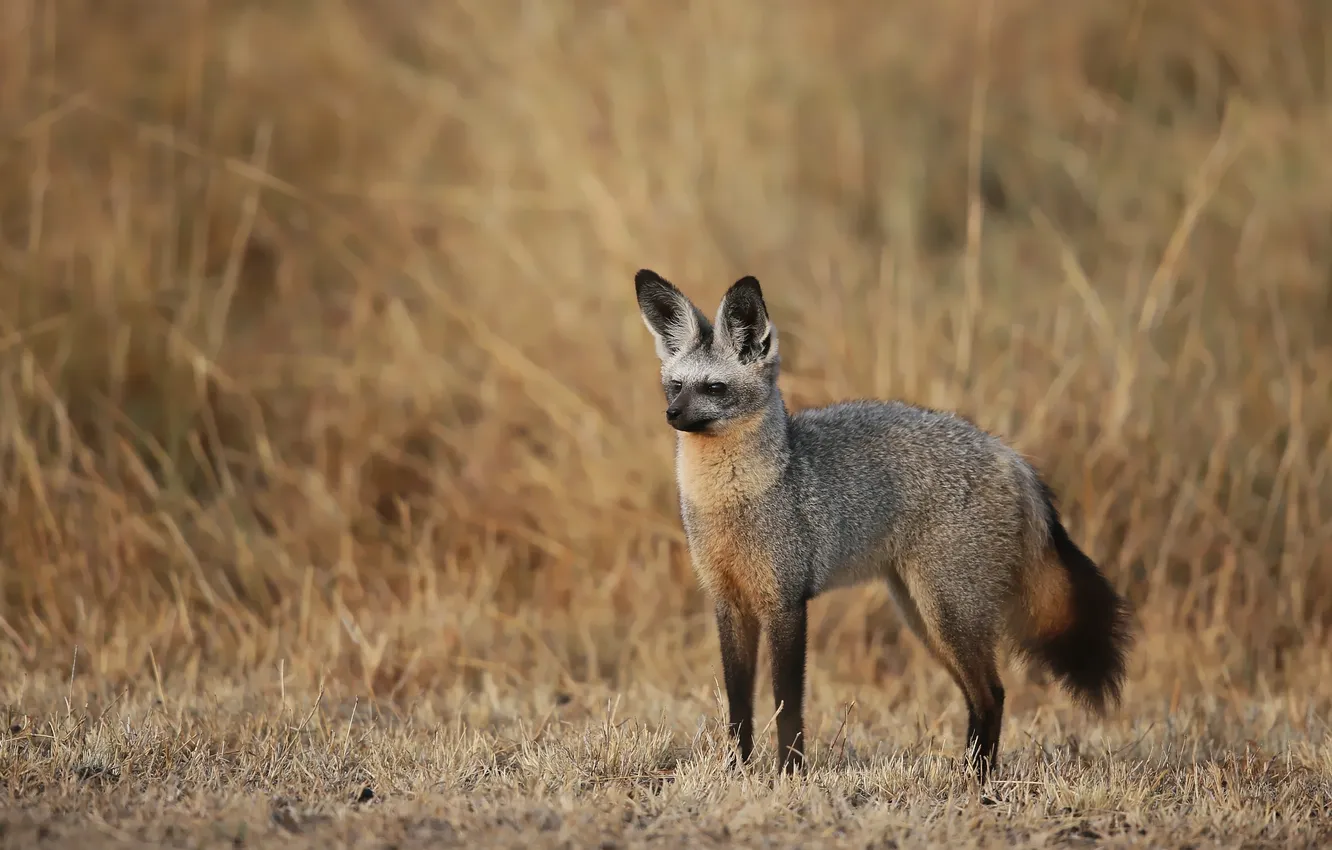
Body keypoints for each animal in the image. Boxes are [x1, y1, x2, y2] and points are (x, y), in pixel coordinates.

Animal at [634, 269, 1134, 783]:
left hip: (947, 613)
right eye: (675, 386)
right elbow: (738, 708)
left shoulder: (786, 603)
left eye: (714, 388)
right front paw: (737, 772)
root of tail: (1012, 457)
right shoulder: (728, 603)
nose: (672, 415)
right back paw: (971, 775)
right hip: (924, 617)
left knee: (993, 693)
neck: (733, 499)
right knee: (982, 696)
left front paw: (791, 774)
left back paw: (976, 782)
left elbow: (787, 705)